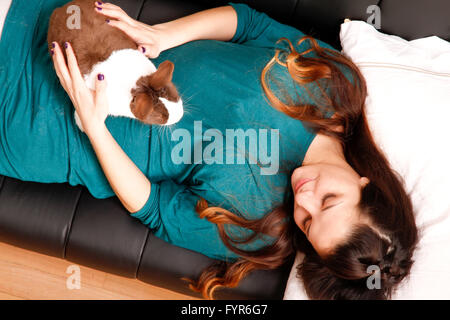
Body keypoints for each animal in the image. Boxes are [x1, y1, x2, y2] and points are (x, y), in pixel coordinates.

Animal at [46, 0, 184, 131]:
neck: (135, 83)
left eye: (173, 95)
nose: (180, 115)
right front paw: (80, 125)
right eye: (160, 117)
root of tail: (61, 8)